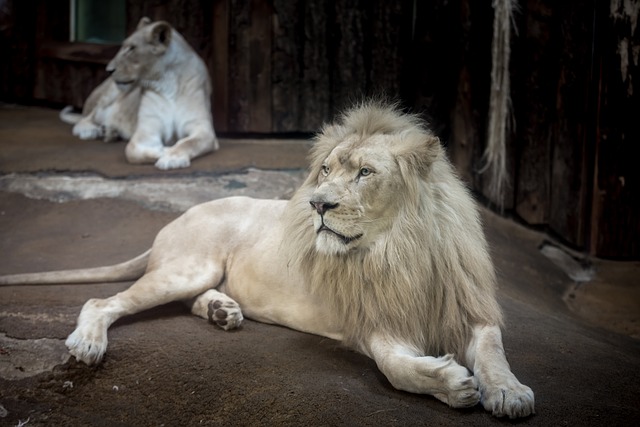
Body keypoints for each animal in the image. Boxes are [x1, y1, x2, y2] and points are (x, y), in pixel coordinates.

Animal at [1, 103, 536, 418]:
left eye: (365, 172)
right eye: (325, 169)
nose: (316, 204)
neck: (400, 249)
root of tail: (177, 217)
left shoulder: (469, 309)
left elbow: (494, 350)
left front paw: (509, 392)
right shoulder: (372, 324)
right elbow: (398, 369)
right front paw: (453, 384)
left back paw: (223, 311)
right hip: (186, 267)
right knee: (101, 302)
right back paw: (89, 342)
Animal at [60, 18, 220, 171]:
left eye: (131, 48)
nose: (109, 70)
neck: (167, 82)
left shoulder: (202, 128)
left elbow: (189, 143)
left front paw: (171, 157)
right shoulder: (147, 130)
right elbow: (131, 150)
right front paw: (163, 151)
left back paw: (110, 132)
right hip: (109, 95)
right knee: (86, 118)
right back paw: (92, 131)